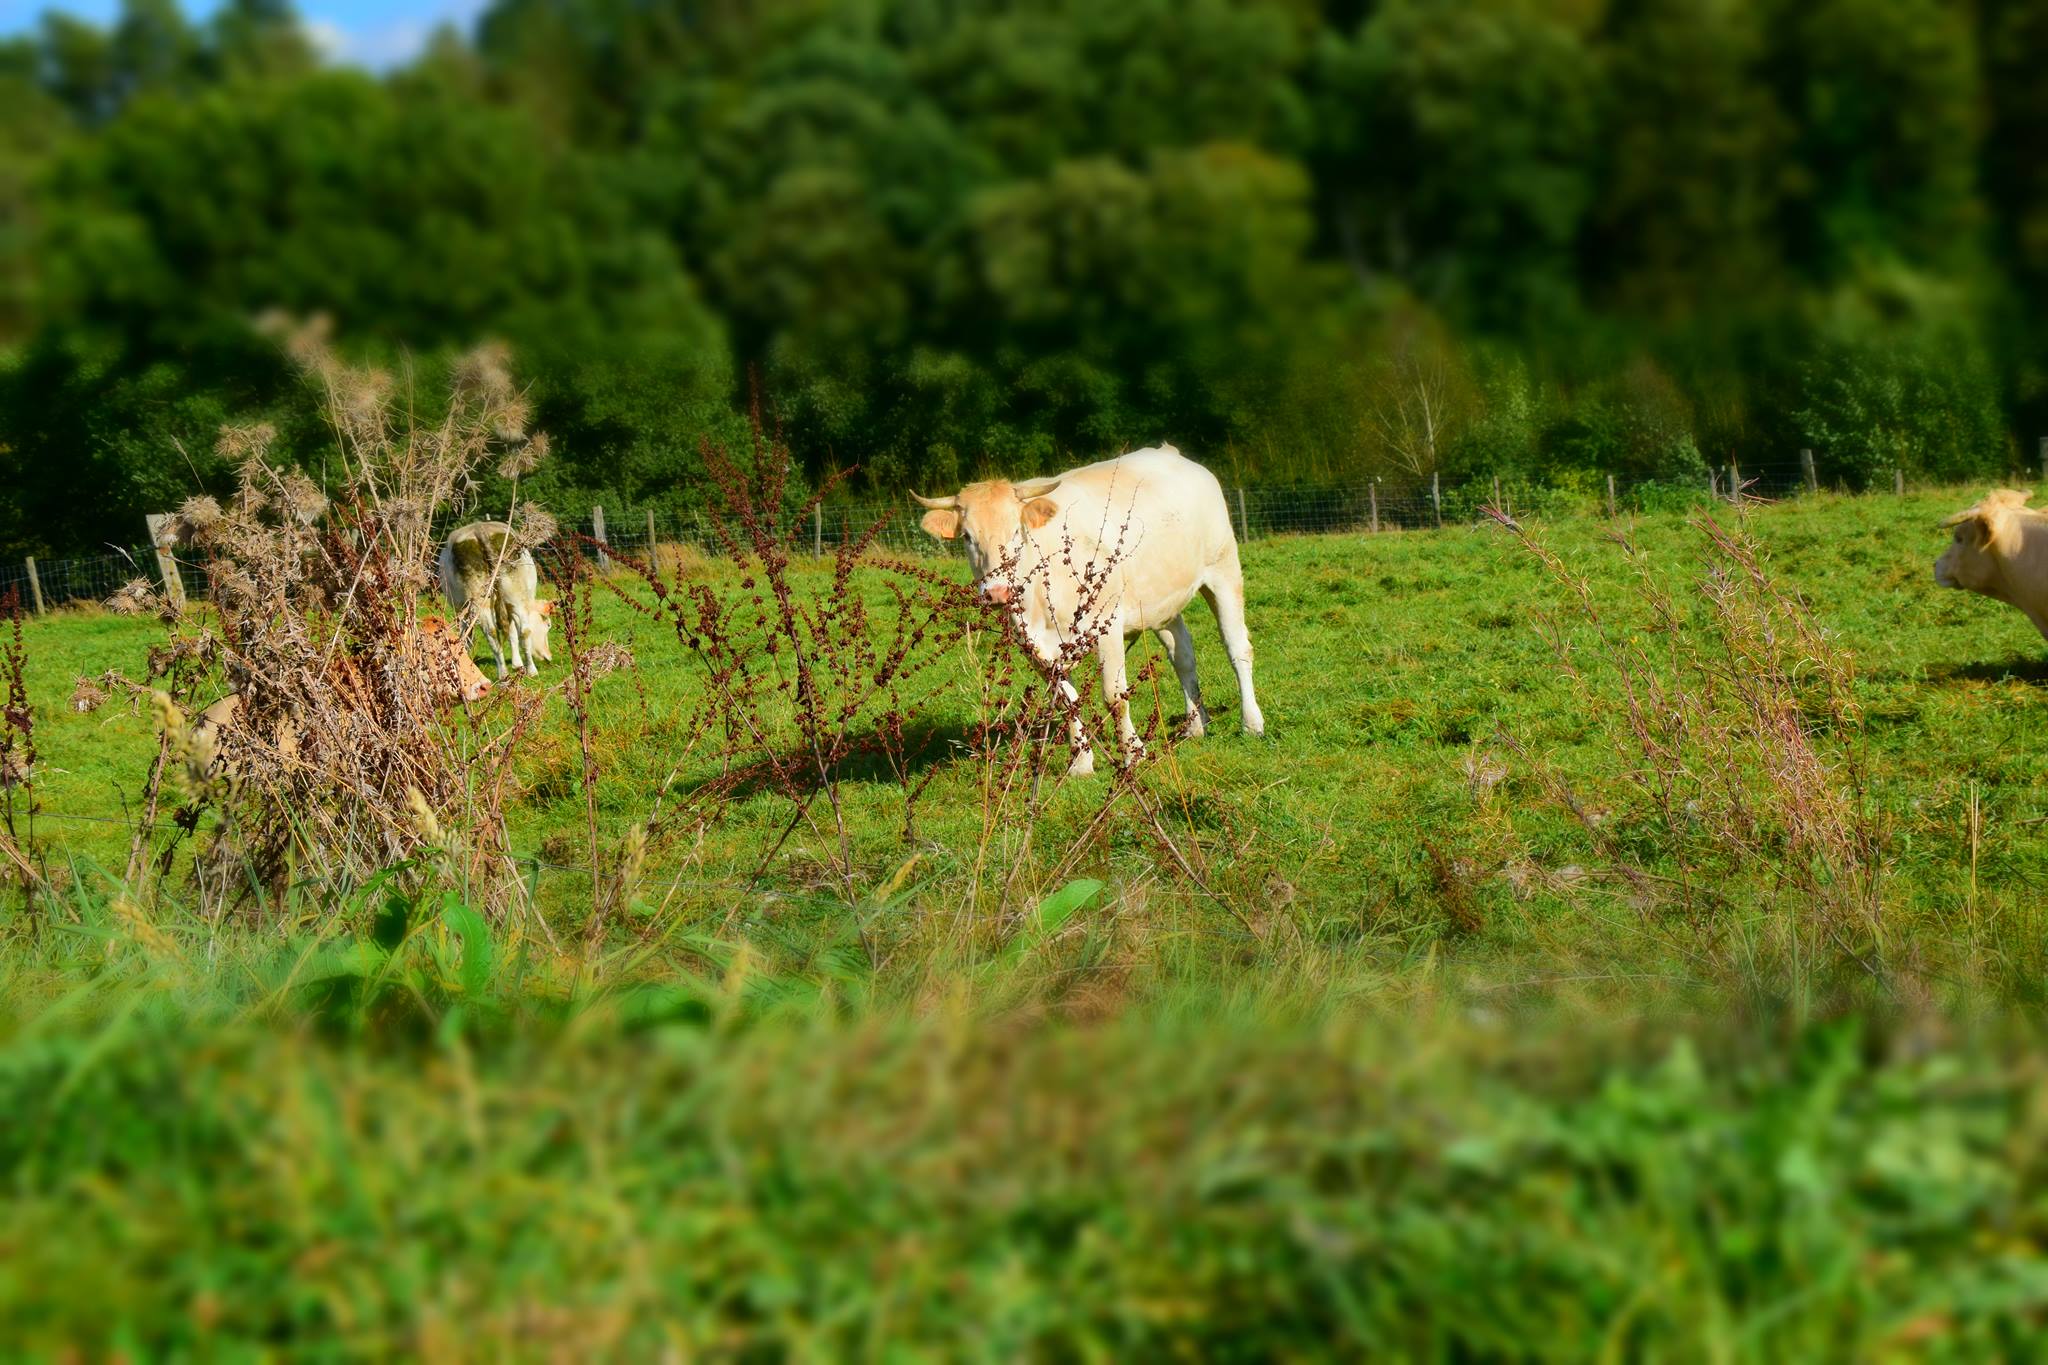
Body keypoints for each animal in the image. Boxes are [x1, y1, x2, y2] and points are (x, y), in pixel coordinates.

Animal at [917, 444, 1261, 773]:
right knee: (1183, 656)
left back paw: (1251, 723)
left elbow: (1114, 696)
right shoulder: (1033, 645)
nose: (997, 592)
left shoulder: (1107, 623)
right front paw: (1080, 763)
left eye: (1017, 531)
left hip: (1223, 569)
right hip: (1162, 599)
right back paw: (1195, 724)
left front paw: (1133, 755)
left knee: (1237, 647)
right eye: (967, 537)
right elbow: (1065, 701)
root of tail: (1172, 454)